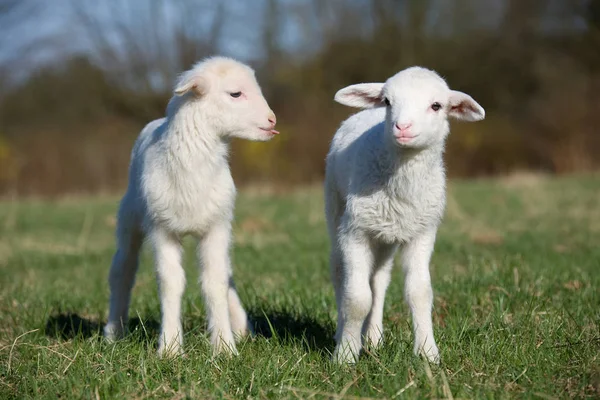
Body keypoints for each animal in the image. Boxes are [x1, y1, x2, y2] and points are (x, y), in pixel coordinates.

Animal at [103, 56, 278, 356]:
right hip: (130, 217)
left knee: (226, 274)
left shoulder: (217, 227)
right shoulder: (162, 229)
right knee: (122, 269)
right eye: (235, 94)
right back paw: (114, 332)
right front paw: (170, 348)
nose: (272, 120)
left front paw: (224, 347)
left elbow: (216, 282)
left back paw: (241, 327)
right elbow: (171, 283)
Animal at [326, 65, 486, 362]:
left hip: (386, 233)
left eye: (436, 106)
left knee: (378, 281)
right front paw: (345, 355)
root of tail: (367, 113)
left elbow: (419, 293)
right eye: (388, 101)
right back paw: (342, 333)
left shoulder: (422, 233)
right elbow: (357, 298)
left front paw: (427, 352)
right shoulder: (355, 232)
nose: (402, 127)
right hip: (336, 209)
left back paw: (374, 338)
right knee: (340, 273)